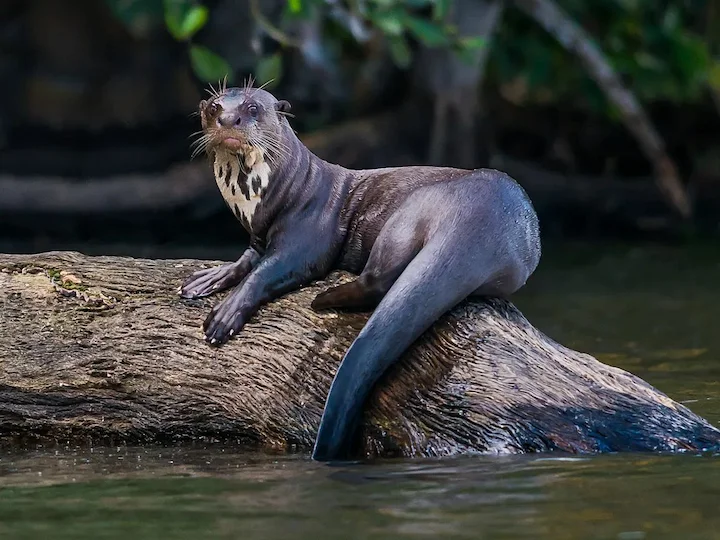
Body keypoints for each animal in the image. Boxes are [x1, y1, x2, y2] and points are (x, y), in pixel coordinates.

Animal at [179, 83, 542, 461]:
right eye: (214, 107)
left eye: (252, 108)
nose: (228, 119)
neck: (281, 192)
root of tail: (482, 219)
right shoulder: (257, 236)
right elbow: (247, 260)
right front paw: (209, 279)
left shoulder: (308, 236)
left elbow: (269, 271)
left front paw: (226, 315)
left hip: (410, 212)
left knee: (379, 280)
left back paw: (324, 299)